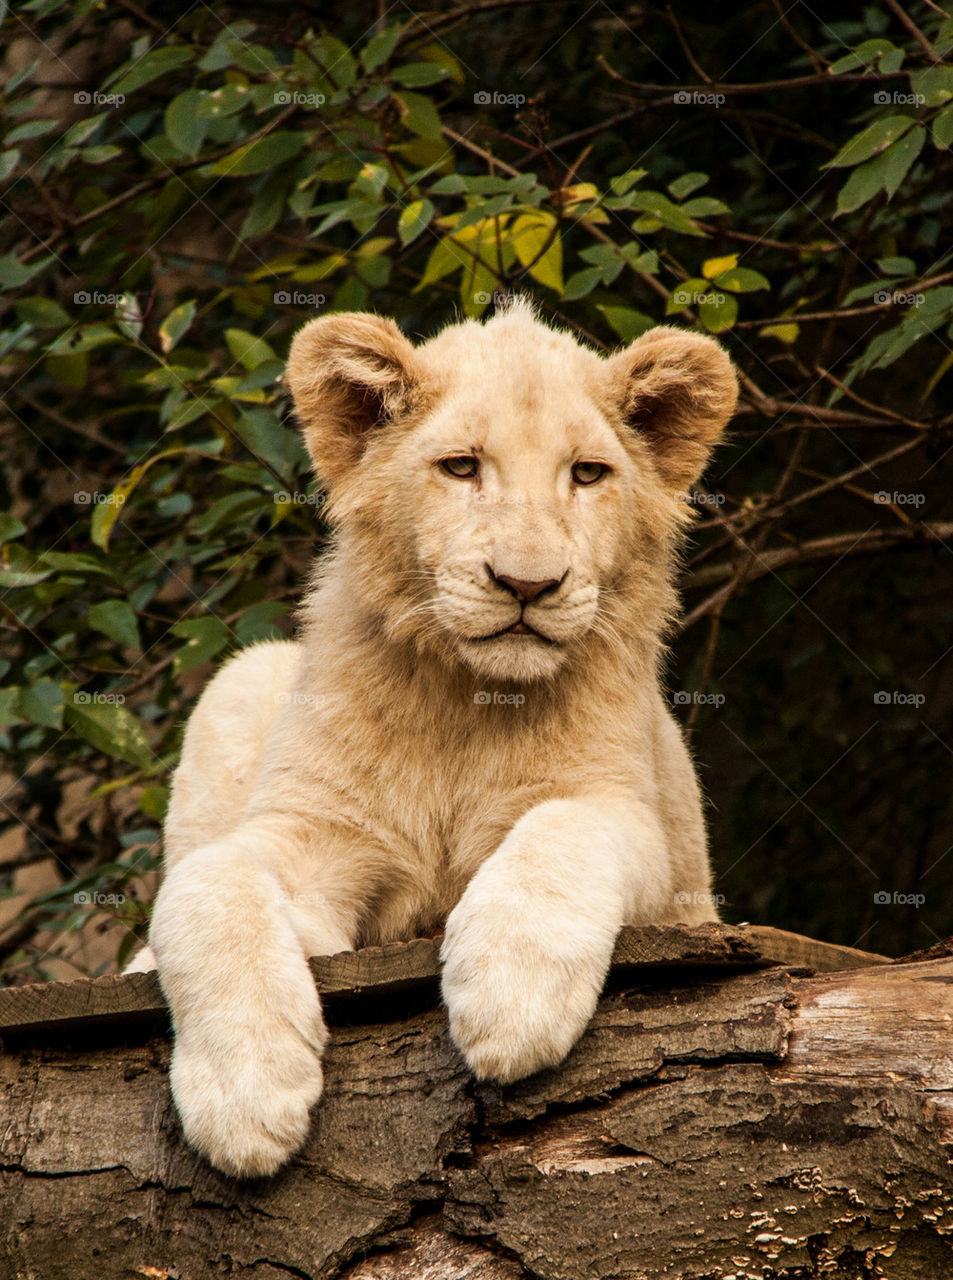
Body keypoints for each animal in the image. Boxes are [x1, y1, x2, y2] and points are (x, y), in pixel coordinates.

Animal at [129, 298, 738, 1178]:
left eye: (587, 474)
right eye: (459, 468)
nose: (527, 584)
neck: (466, 703)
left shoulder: (642, 839)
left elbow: (560, 831)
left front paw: (511, 996)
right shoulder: (312, 829)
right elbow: (208, 884)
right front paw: (244, 1092)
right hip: (238, 679)